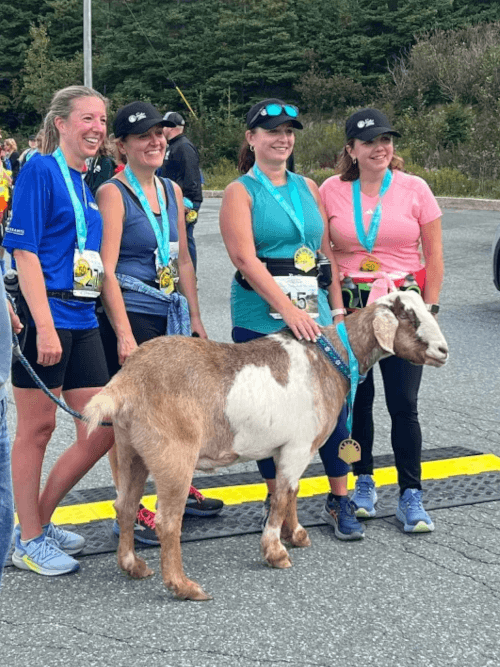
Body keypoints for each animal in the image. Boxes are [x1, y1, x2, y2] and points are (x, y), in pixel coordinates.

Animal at [85, 292, 450, 600]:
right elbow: (282, 496)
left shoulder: (287, 448)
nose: (443, 351)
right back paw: (184, 586)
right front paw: (276, 552)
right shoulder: (299, 446)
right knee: (167, 521)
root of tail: (126, 383)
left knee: (124, 506)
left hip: (130, 449)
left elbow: (291, 492)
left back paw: (133, 566)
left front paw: (296, 534)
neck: (331, 358)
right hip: (173, 453)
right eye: (409, 318)